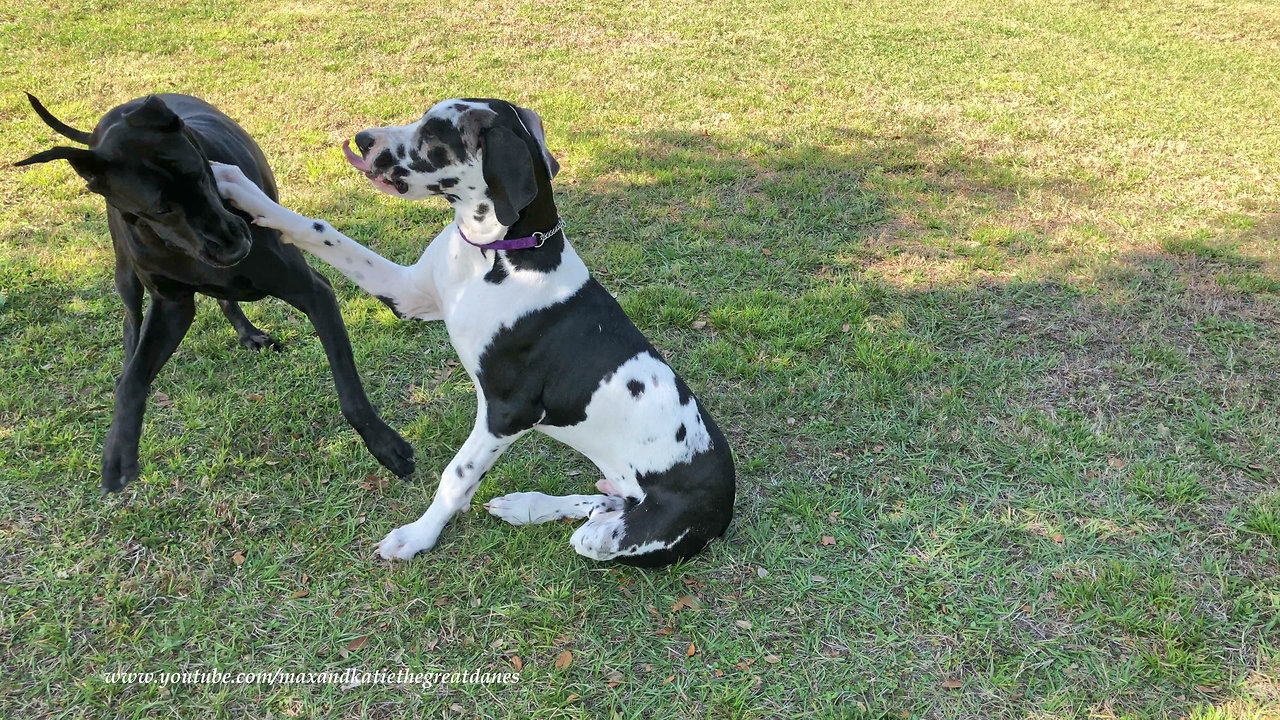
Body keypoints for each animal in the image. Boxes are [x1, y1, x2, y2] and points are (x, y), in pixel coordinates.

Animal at [16, 94, 414, 486]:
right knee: (131, 322)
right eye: (160, 208)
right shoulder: (171, 307)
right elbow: (132, 380)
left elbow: (349, 389)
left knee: (223, 301)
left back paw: (248, 333)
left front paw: (385, 444)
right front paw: (118, 450)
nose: (235, 245)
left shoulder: (312, 291)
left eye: (200, 172)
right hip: (125, 273)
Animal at [215, 98, 737, 563]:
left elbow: (456, 475)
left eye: (435, 133)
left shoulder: (506, 413)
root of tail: (725, 505)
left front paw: (418, 535)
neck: (498, 255)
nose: (362, 139)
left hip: (616, 533)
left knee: (595, 527)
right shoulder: (407, 294)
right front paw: (237, 186)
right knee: (602, 502)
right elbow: (323, 231)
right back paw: (529, 505)